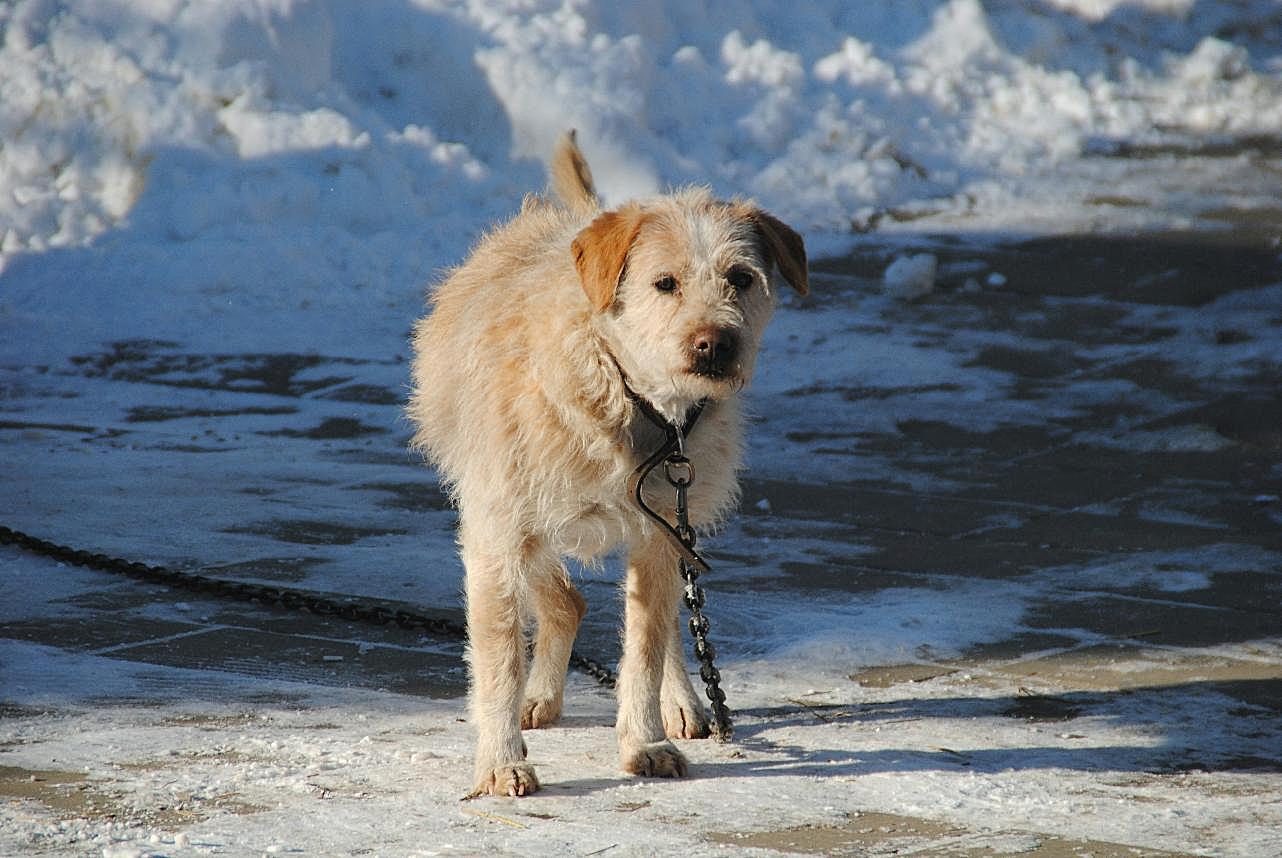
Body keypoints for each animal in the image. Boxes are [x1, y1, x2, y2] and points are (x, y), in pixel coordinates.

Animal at [410, 134, 805, 795]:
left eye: (741, 278)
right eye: (664, 282)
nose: (715, 344)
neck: (625, 396)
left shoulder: (658, 534)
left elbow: (645, 648)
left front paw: (645, 740)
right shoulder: (498, 532)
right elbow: (498, 659)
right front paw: (500, 760)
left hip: (672, 529)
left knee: (663, 621)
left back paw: (683, 702)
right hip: (525, 525)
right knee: (565, 603)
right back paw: (540, 694)